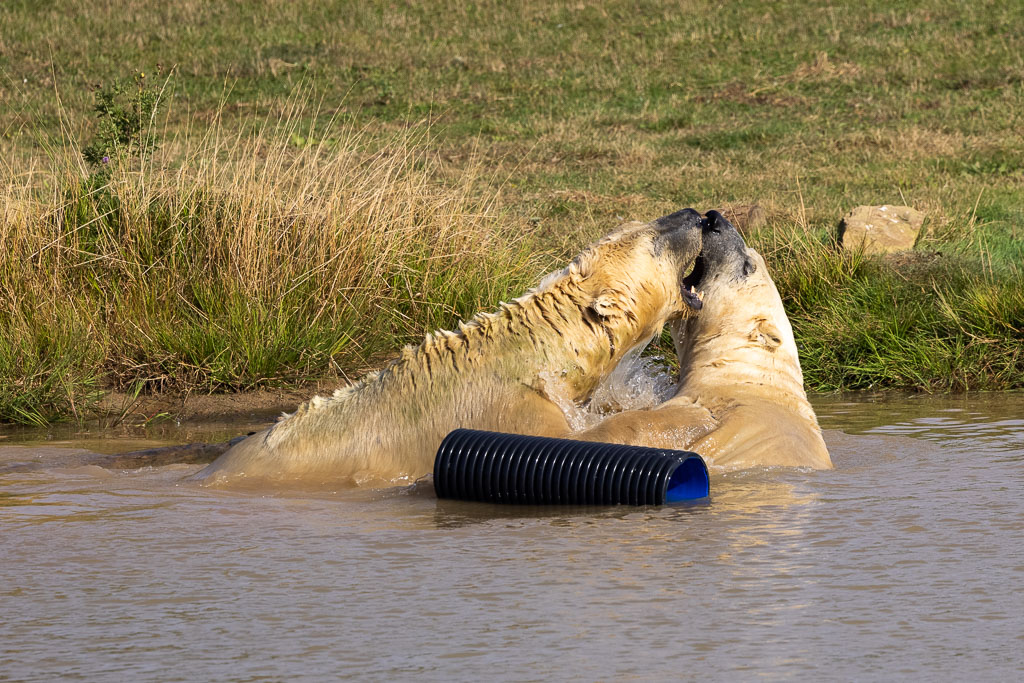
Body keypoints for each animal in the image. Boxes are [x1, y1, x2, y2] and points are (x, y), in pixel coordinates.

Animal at [192, 209, 706, 487]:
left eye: (647, 221)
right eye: (655, 242)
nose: (697, 216)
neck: (544, 353)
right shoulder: (512, 411)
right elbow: (579, 443)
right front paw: (686, 414)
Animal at [573, 210, 832, 470]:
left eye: (748, 265)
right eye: (753, 254)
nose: (714, 218)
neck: (741, 375)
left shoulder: (725, 413)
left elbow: (654, 423)